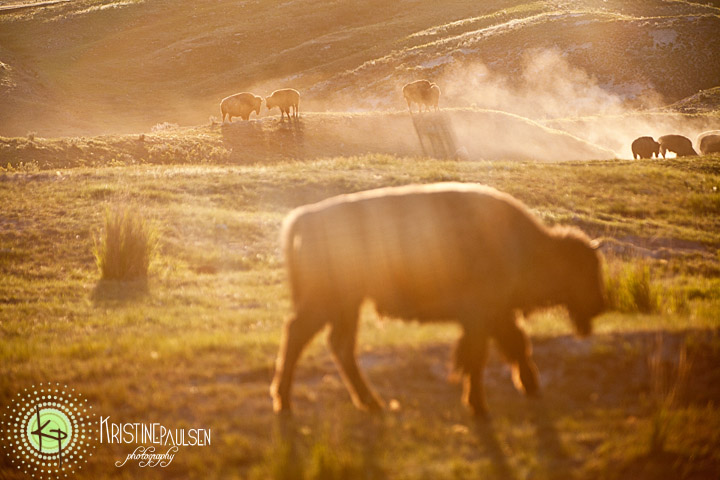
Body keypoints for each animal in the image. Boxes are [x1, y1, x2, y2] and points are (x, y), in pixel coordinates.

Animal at [270, 181, 608, 416]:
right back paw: (284, 402)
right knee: (299, 336)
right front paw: (479, 406)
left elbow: (513, 346)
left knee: (339, 345)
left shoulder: (494, 316)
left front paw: (530, 387)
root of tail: (306, 217)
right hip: (327, 301)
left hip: (347, 305)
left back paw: (371, 403)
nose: (600, 305)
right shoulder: (482, 316)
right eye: (582, 270)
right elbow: (478, 357)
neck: (527, 246)